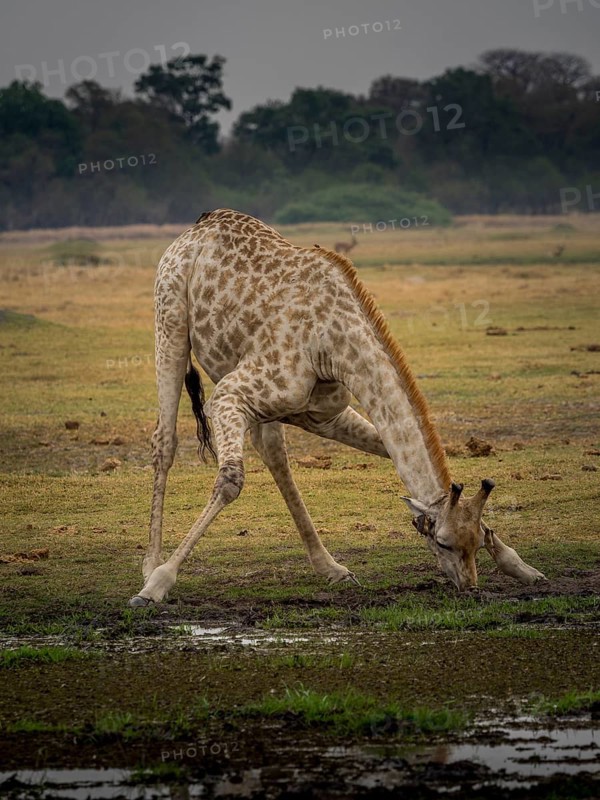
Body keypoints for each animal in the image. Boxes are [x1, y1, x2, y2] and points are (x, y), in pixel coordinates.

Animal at [129, 209, 545, 607]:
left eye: (477, 539)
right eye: (443, 542)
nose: (469, 586)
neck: (331, 342)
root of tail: (201, 224)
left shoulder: (319, 414)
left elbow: (386, 448)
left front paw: (524, 568)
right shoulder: (228, 395)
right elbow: (231, 481)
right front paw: (158, 584)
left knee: (273, 453)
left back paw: (331, 568)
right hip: (170, 322)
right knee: (164, 441)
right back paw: (150, 565)